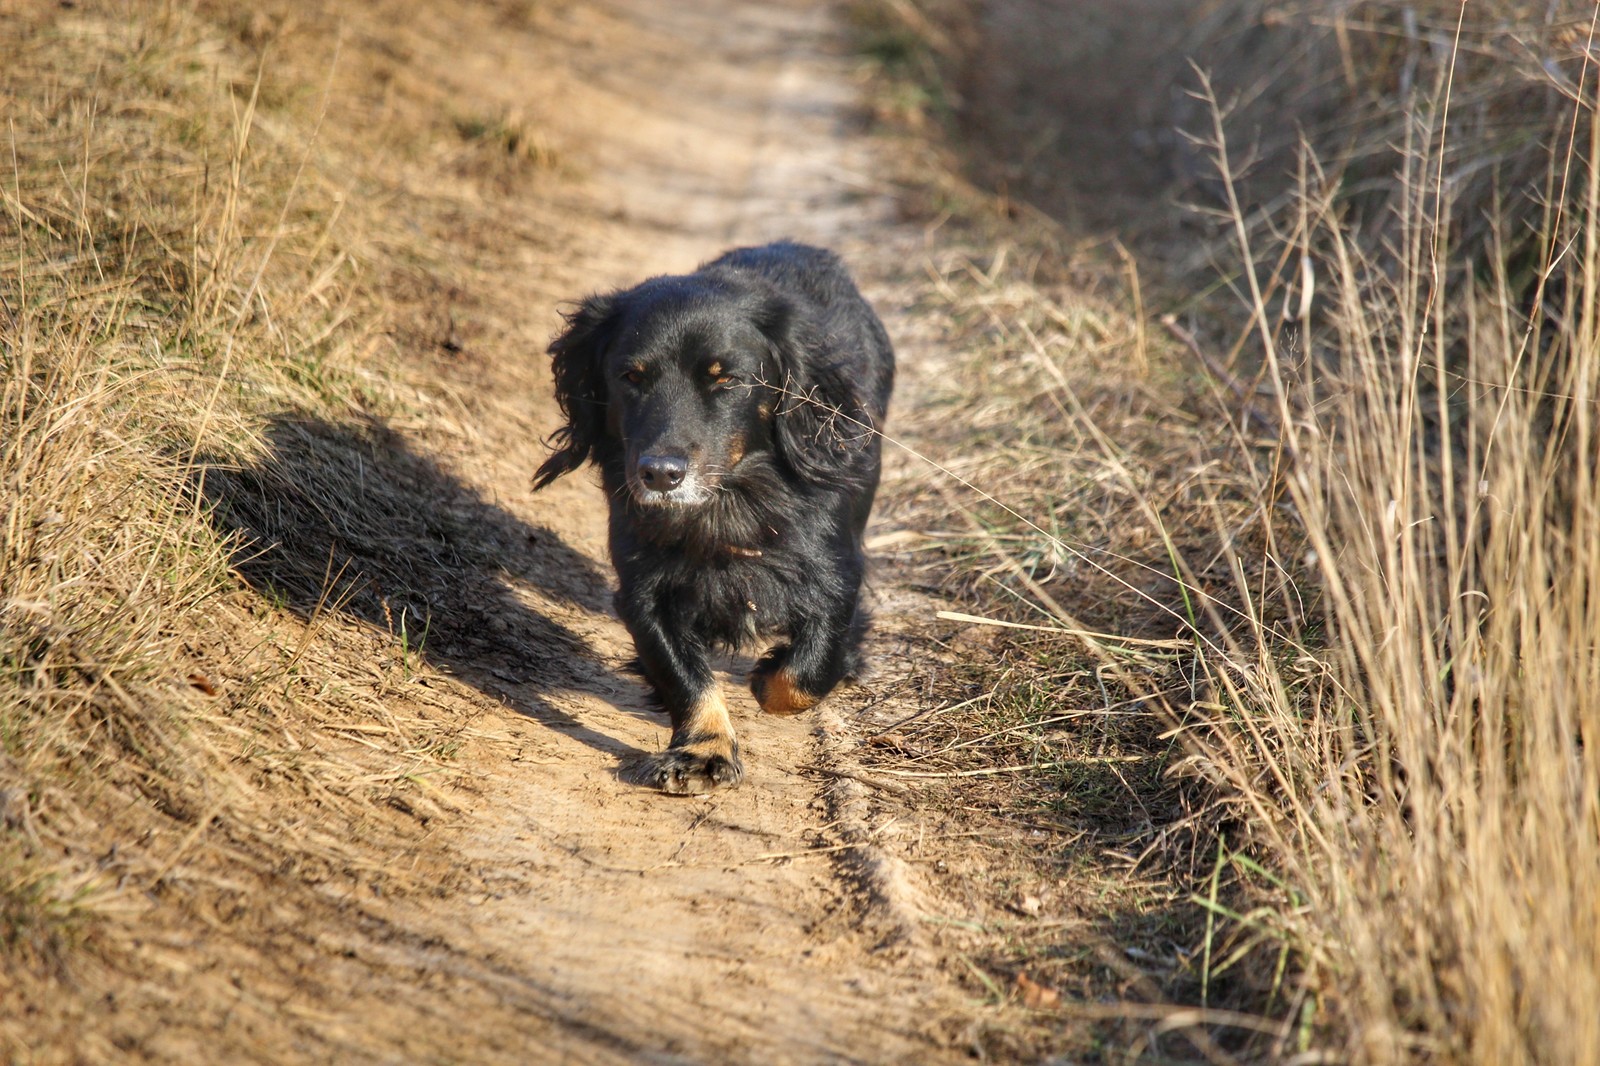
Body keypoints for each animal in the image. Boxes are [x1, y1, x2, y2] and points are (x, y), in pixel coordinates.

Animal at [531, 240, 896, 787]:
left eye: (727, 380)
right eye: (630, 377)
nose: (660, 474)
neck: (727, 500)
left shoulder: (835, 571)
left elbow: (805, 671)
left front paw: (769, 675)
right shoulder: (645, 587)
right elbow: (682, 674)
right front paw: (704, 751)